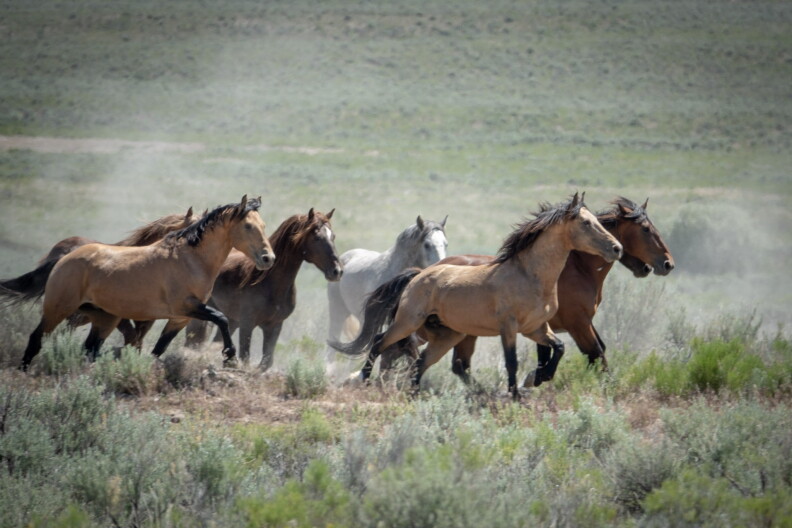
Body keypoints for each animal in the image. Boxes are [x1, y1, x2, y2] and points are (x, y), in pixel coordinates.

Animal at [19, 195, 275, 370]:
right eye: (248, 226)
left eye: (264, 226)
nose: (268, 259)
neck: (190, 260)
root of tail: (64, 258)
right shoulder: (186, 307)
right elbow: (221, 318)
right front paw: (229, 355)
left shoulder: (179, 318)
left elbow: (158, 348)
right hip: (59, 309)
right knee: (36, 339)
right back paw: (24, 372)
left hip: (103, 318)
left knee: (90, 348)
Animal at [184, 208, 343, 370]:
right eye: (316, 237)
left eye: (333, 236)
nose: (337, 271)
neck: (269, 283)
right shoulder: (247, 324)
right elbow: (245, 358)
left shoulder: (274, 326)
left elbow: (266, 361)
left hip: (231, 320)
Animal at [330, 193, 623, 398]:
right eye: (586, 223)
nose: (617, 248)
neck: (530, 275)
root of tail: (418, 275)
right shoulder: (509, 328)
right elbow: (512, 362)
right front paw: (515, 395)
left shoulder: (537, 328)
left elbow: (558, 348)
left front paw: (539, 378)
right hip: (408, 322)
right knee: (381, 342)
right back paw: (365, 379)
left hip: (448, 335)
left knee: (419, 361)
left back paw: (414, 395)